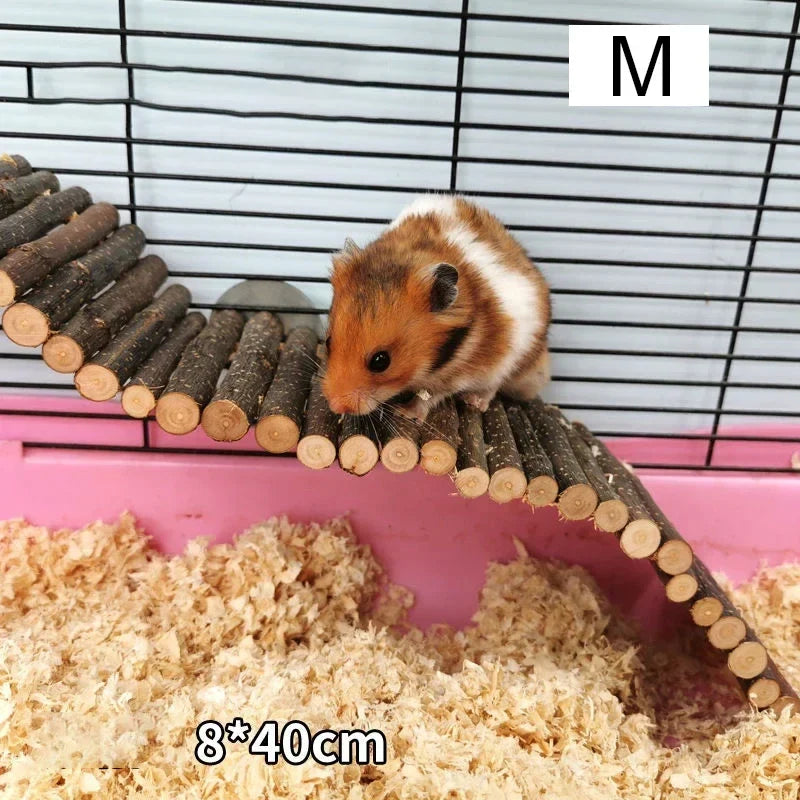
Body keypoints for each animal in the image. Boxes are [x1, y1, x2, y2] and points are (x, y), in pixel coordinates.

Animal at [322, 195, 551, 421]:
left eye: (381, 361)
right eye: (328, 342)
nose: (336, 406)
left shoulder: (457, 376)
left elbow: (428, 396)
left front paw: (405, 413)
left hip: (514, 360)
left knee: (493, 386)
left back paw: (474, 401)